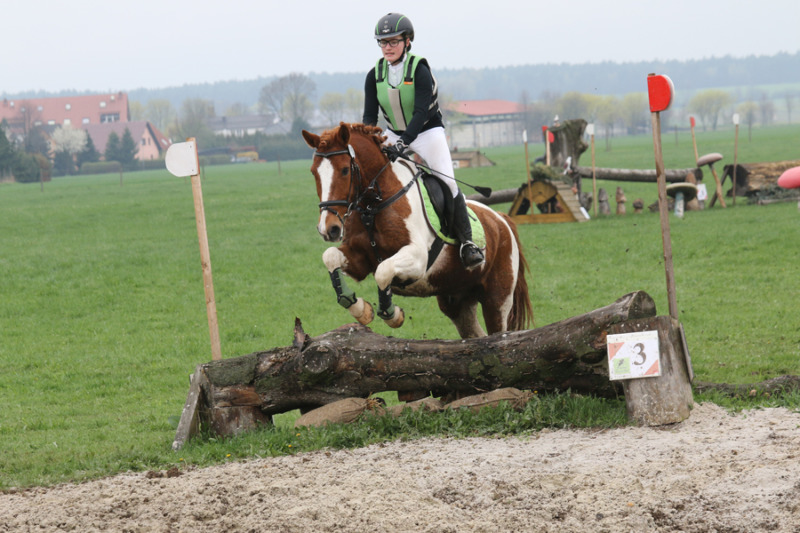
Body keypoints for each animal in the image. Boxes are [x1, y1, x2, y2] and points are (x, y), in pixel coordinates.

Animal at [300, 123, 532, 338]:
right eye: (313, 172)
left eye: (345, 170)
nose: (328, 229)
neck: (373, 206)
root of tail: (501, 219)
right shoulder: (359, 260)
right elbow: (330, 257)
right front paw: (361, 310)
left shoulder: (418, 259)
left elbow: (383, 271)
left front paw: (393, 315)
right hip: (457, 301)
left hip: (497, 299)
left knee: (497, 333)